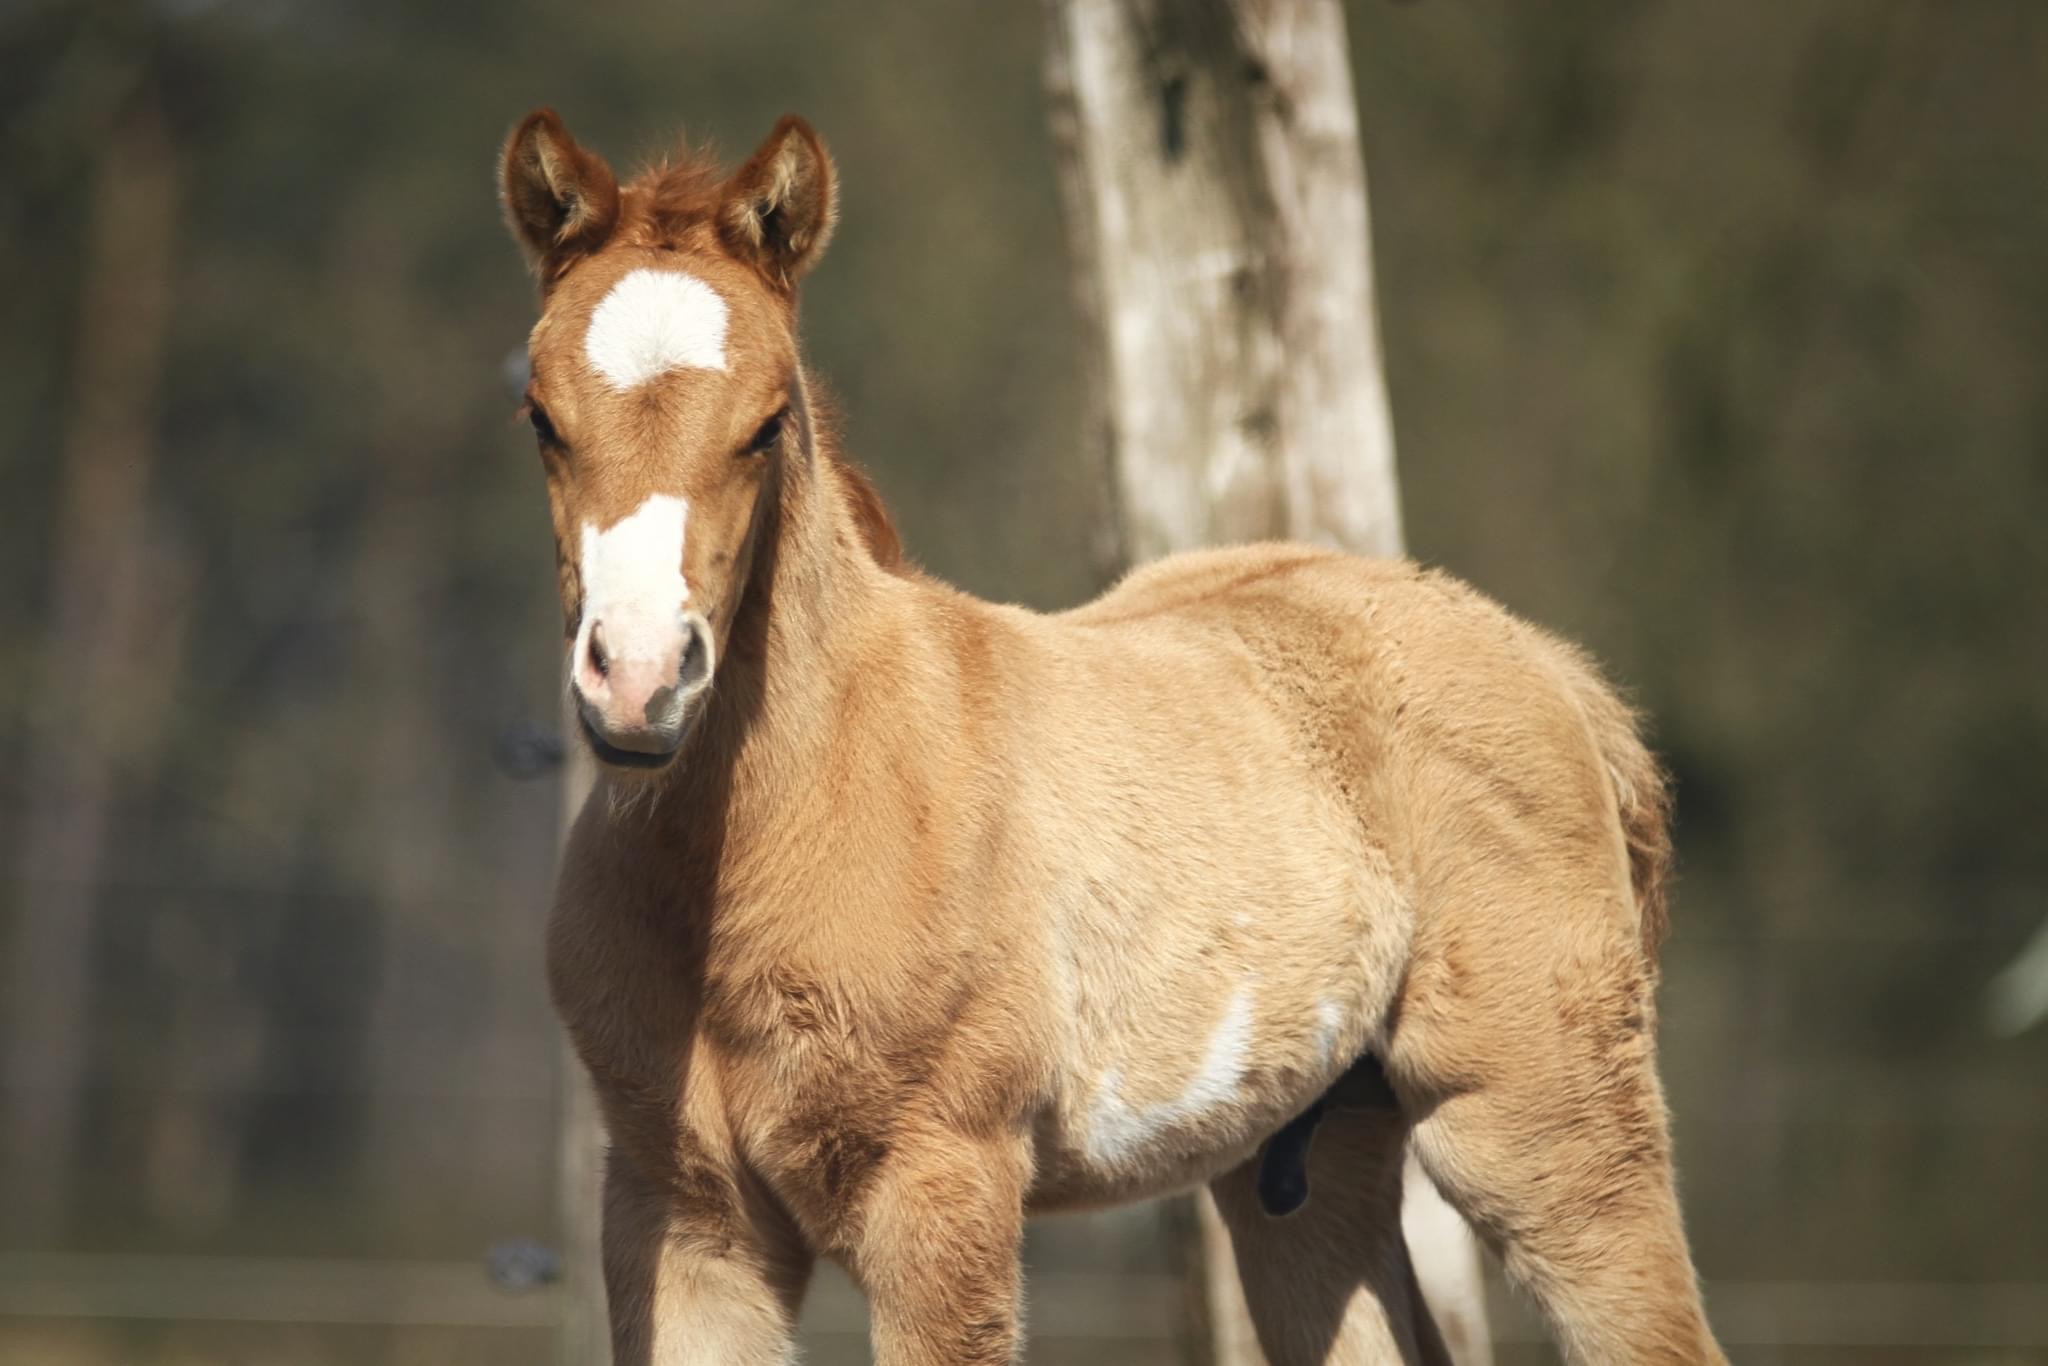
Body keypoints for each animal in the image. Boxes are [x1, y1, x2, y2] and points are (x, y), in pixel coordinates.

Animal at [497, 107, 1726, 1366]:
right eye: (540, 416)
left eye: (766, 423)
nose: (639, 679)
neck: (771, 835)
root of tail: (1550, 667)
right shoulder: (685, 1215)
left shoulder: (941, 1189)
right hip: (1308, 1163)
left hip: (1544, 1131)